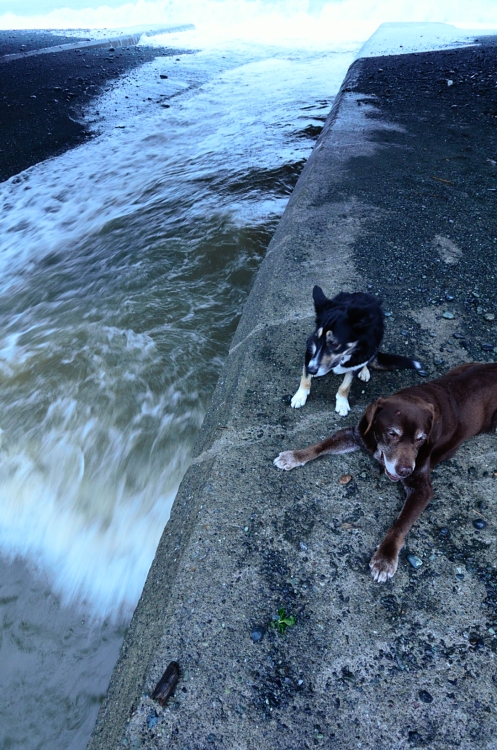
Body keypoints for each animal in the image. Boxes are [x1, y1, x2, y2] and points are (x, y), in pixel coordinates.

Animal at [276, 362, 497, 582]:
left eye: (421, 439)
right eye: (392, 433)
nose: (405, 470)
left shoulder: (421, 488)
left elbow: (400, 525)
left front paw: (385, 558)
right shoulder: (358, 435)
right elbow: (320, 446)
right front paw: (294, 456)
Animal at [291, 287, 423, 415]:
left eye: (334, 343)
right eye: (317, 338)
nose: (312, 369)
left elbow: (345, 386)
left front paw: (342, 403)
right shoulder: (310, 349)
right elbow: (305, 378)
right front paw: (300, 396)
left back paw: (364, 371)